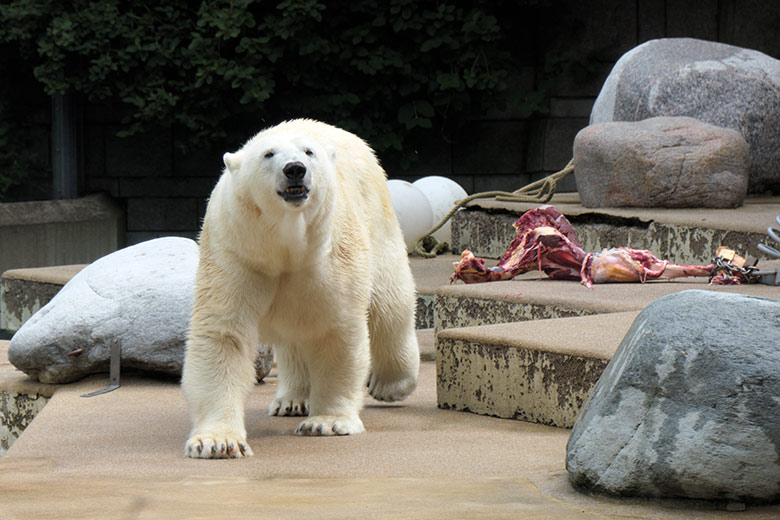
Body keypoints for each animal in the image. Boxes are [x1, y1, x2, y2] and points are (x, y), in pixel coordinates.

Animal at [181, 119, 420, 460]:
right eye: (268, 154)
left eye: (308, 152)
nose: (295, 169)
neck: (283, 243)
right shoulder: (237, 254)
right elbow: (223, 333)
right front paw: (217, 442)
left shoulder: (330, 257)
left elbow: (337, 329)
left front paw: (327, 423)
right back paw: (292, 399)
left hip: (377, 217)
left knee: (389, 304)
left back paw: (391, 385)